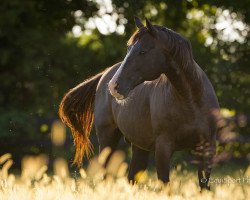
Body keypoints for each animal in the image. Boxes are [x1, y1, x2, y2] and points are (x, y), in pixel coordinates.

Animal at [59, 16, 219, 189]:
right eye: (129, 49)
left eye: (143, 51)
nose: (113, 86)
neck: (191, 103)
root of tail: (105, 74)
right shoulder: (163, 148)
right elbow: (165, 184)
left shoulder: (207, 149)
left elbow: (203, 185)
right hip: (108, 139)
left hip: (139, 147)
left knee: (132, 177)